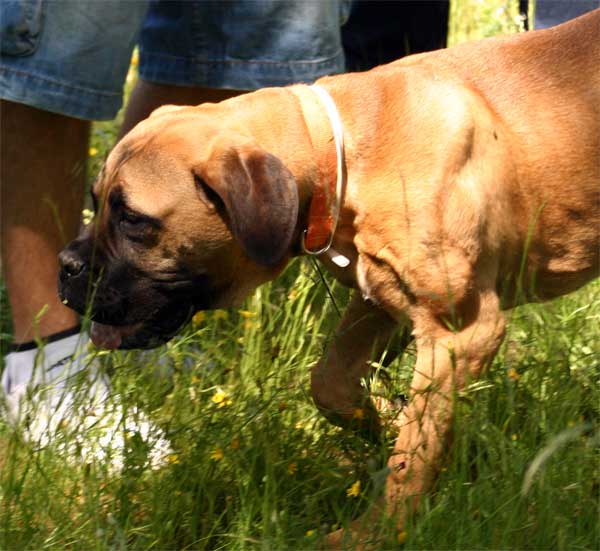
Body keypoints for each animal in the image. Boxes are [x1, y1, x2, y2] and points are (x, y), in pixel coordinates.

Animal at [57, 9, 600, 548]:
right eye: (96, 200)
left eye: (133, 219)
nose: (65, 265)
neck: (345, 153)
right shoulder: (380, 301)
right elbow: (334, 385)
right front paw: (388, 419)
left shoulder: (459, 332)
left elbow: (414, 455)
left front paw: (381, 530)